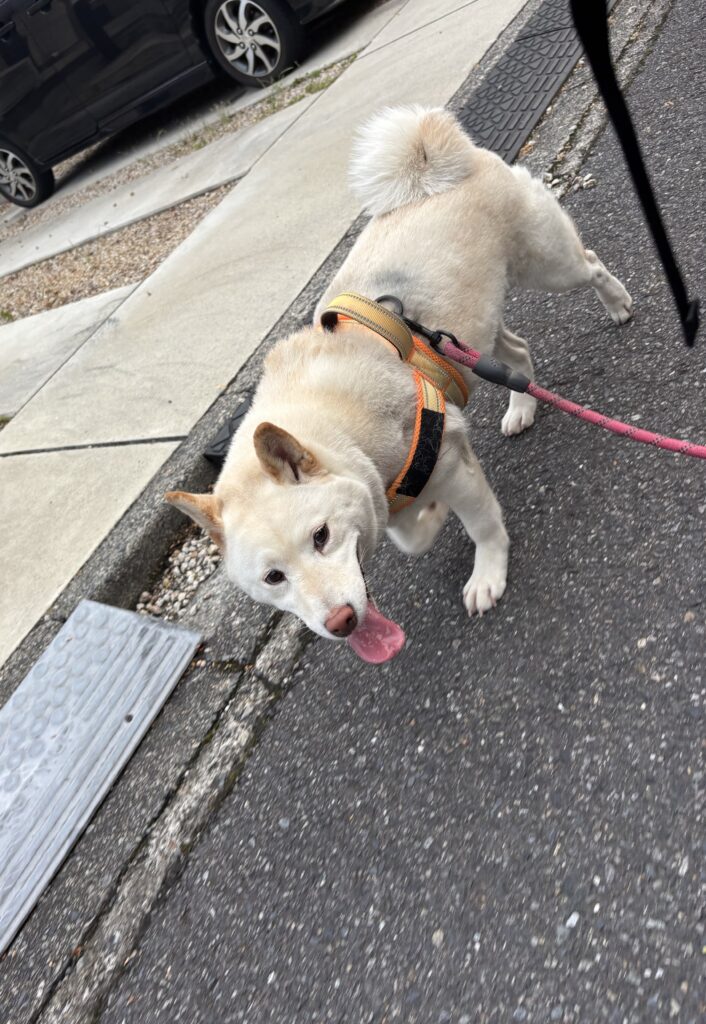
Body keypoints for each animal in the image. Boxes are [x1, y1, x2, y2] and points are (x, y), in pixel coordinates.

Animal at [166, 106, 633, 662]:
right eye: (273, 577)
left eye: (321, 537)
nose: (341, 622)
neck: (337, 426)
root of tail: (438, 162)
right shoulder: (379, 493)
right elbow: (408, 535)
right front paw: (429, 518)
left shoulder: (447, 462)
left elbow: (481, 525)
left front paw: (486, 572)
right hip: (470, 337)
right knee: (518, 353)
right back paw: (521, 408)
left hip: (547, 266)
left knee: (592, 265)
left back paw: (618, 304)